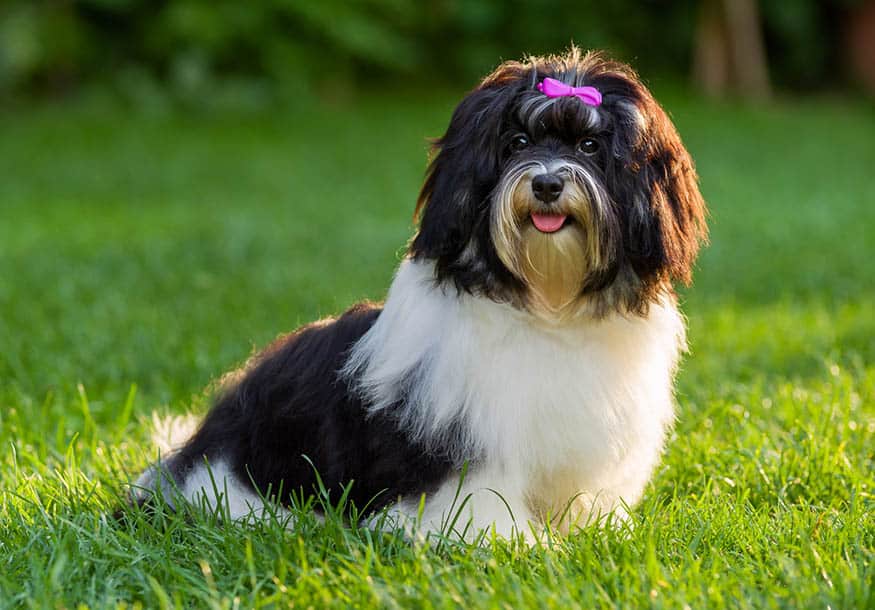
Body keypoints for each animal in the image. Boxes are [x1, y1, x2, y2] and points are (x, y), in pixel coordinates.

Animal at [135, 47, 712, 540]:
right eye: (517, 145)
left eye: (591, 147)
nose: (547, 184)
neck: (548, 305)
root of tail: (184, 458)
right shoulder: (465, 441)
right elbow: (480, 501)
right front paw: (513, 544)